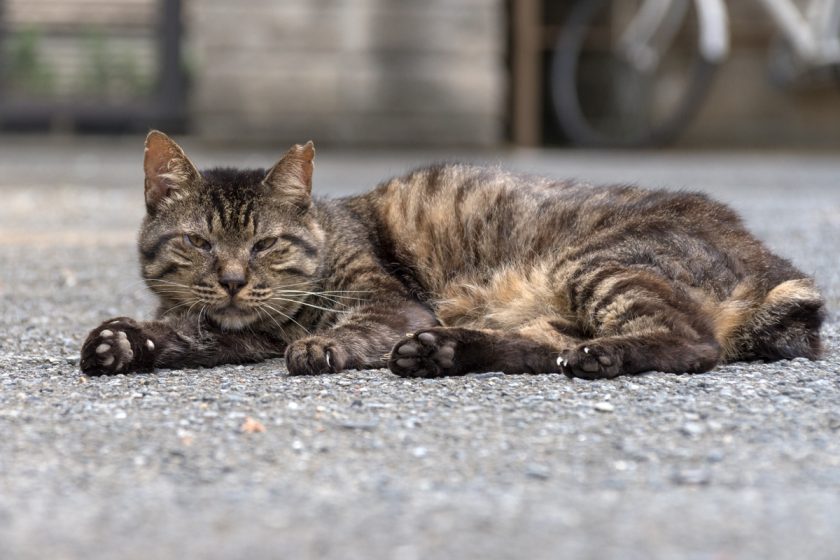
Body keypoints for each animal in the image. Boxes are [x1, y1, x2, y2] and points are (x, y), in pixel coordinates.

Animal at [80, 131, 828, 378]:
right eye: (199, 243)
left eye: (265, 244)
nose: (234, 281)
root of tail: (773, 262)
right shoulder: (234, 333)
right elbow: (184, 334)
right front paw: (125, 341)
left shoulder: (389, 303)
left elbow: (345, 328)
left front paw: (322, 346)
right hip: (549, 310)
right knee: (540, 353)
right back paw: (443, 352)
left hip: (596, 266)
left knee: (690, 342)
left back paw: (604, 357)